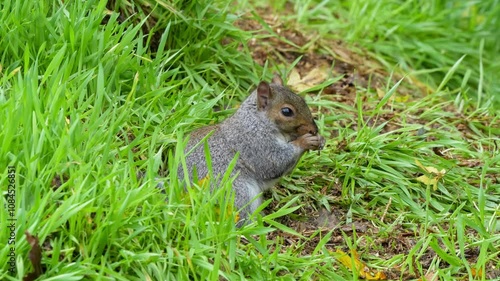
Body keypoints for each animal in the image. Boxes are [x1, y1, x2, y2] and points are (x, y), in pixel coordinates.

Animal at [178, 76, 326, 223]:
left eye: (302, 100)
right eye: (286, 111)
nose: (314, 129)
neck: (257, 121)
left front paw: (321, 139)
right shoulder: (255, 144)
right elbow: (275, 163)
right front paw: (305, 141)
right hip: (236, 191)